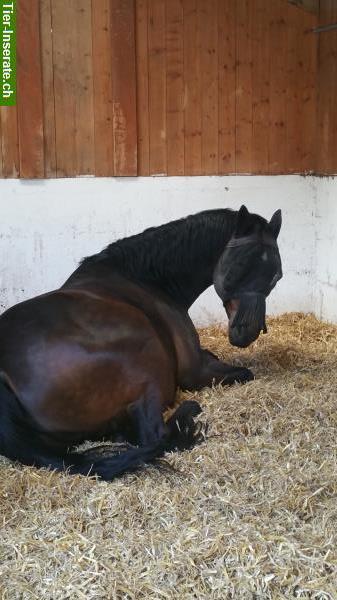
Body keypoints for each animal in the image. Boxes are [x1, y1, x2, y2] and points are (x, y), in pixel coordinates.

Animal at [0, 204, 280, 480]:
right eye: (238, 267)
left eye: (276, 276)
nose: (248, 332)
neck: (146, 280)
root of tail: (5, 374)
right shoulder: (195, 371)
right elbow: (245, 372)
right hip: (149, 365)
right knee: (156, 436)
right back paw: (188, 412)